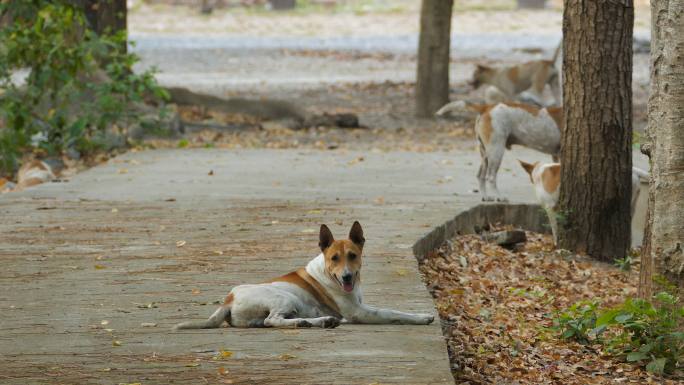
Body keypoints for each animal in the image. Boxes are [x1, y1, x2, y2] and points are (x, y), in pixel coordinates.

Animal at [175, 222, 432, 330]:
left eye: (352, 255)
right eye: (334, 258)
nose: (347, 277)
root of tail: (228, 300)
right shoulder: (360, 312)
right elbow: (393, 313)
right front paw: (421, 317)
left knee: (269, 322)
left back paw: (318, 321)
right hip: (284, 298)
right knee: (272, 320)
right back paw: (312, 322)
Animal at [520, 160, 652, 244]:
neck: (538, 170)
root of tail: (634, 169)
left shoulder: (550, 208)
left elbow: (555, 229)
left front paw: (557, 244)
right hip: (631, 208)